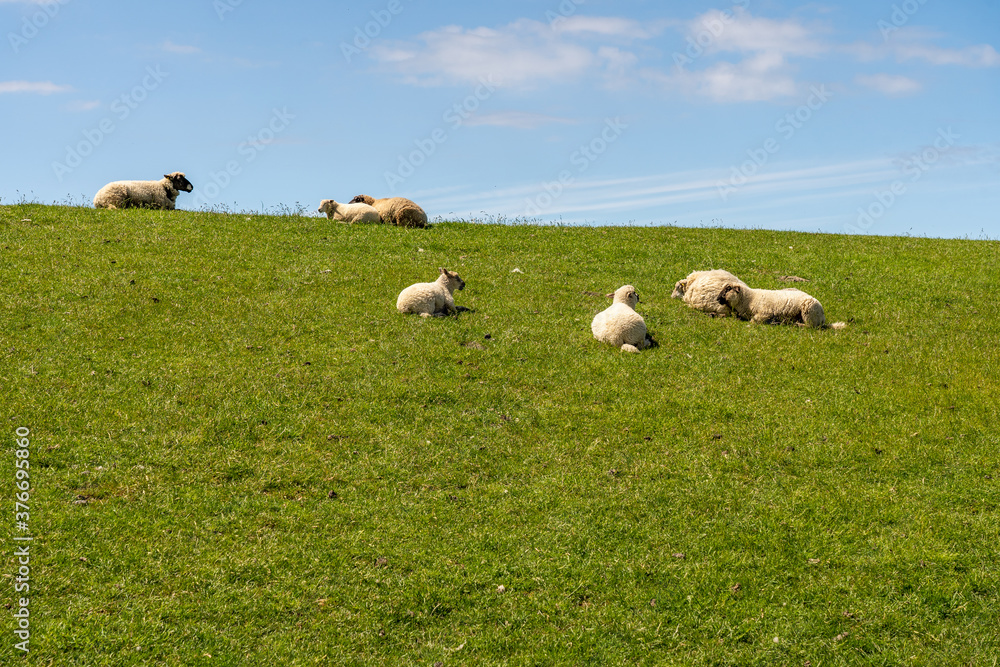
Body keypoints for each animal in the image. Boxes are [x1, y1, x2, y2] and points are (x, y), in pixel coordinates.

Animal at [716, 284, 848, 330]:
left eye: (728, 289)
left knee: (811, 326)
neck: (749, 299)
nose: (717, 299)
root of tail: (823, 318)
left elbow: (754, 320)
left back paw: (797, 324)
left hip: (809, 312)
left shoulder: (765, 313)